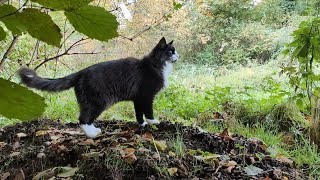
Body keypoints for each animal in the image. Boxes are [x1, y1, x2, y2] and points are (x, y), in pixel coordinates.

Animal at [18, 37, 179, 138]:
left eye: (175, 51)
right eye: (171, 51)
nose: (178, 56)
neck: (156, 65)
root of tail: (81, 72)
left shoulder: (137, 98)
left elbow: (139, 113)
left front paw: (143, 124)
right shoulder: (146, 95)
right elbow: (149, 110)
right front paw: (153, 122)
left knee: (85, 118)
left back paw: (94, 130)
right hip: (99, 101)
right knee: (82, 119)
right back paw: (93, 134)